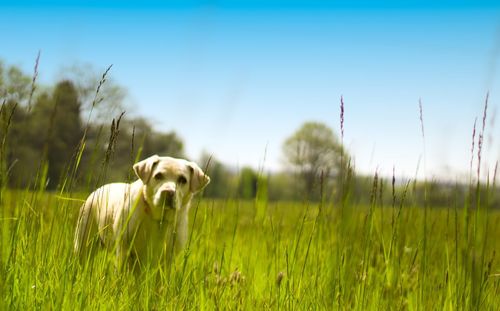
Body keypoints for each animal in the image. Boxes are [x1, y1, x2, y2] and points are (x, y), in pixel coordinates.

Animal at [72, 156, 209, 270]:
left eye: (182, 180)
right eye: (158, 176)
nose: (168, 192)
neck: (159, 219)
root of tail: (96, 191)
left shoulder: (167, 261)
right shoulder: (124, 251)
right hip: (83, 244)